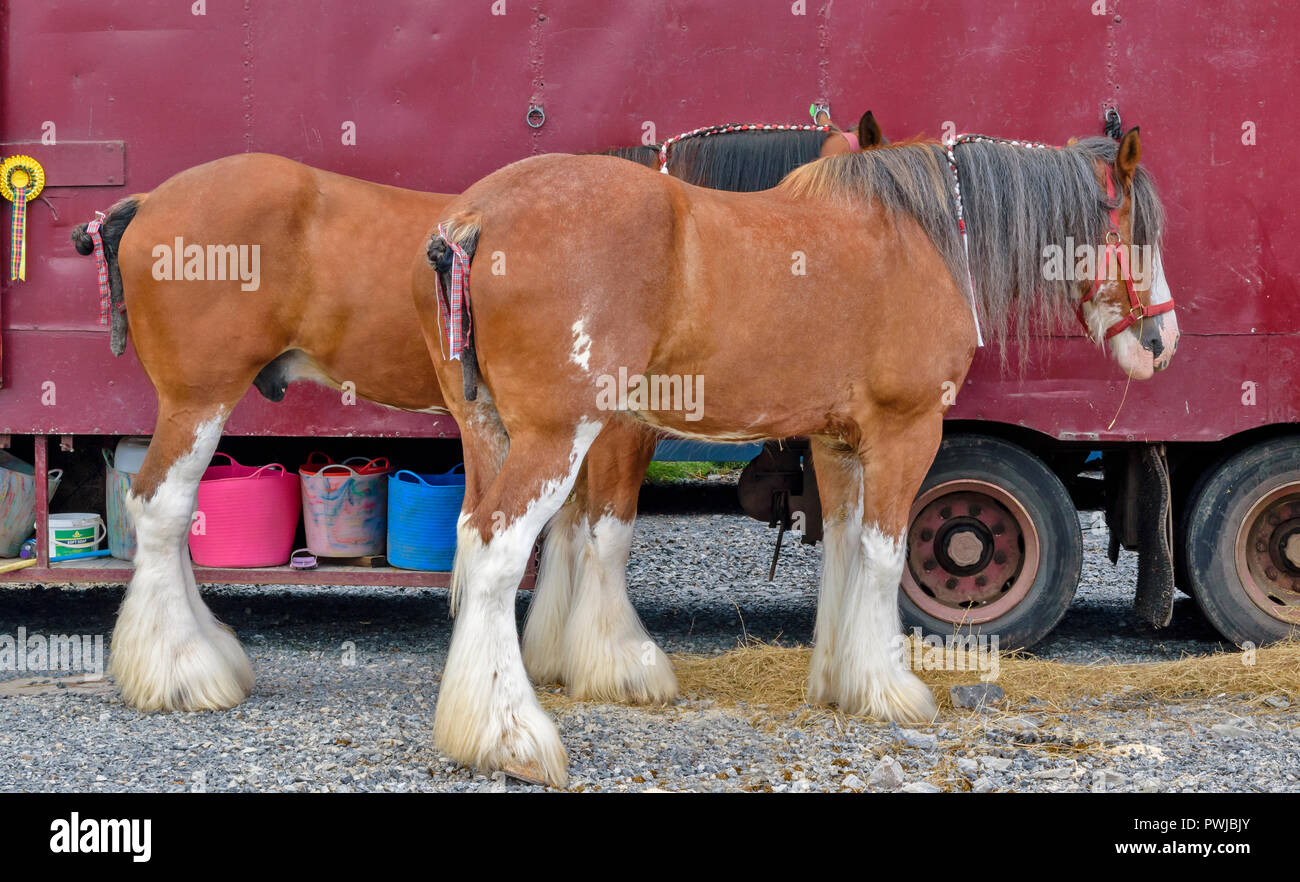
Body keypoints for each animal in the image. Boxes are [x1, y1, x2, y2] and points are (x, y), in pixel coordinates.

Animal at [67, 114, 879, 714]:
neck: (687, 255)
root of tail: (146, 204)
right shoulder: (618, 431)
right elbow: (604, 535)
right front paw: (618, 662)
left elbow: (565, 532)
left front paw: (549, 656)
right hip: (198, 399)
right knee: (162, 510)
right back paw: (183, 671)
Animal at [412, 128, 1180, 786]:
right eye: (1139, 232)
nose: (1161, 343)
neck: (924, 240)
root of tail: (475, 219)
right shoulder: (907, 432)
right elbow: (884, 556)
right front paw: (891, 689)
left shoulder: (838, 443)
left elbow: (842, 548)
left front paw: (843, 682)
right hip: (557, 436)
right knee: (497, 555)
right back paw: (513, 737)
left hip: (490, 433)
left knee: (474, 540)